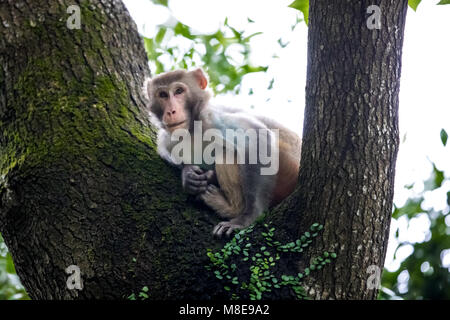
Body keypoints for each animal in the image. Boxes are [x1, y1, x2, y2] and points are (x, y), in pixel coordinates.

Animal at [146, 68, 300, 238]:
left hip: (287, 170)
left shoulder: (211, 118)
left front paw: (248, 217)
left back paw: (230, 207)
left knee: (226, 151)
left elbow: (257, 136)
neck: (192, 129)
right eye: (163, 95)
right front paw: (188, 175)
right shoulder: (167, 140)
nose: (171, 111)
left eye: (179, 91)